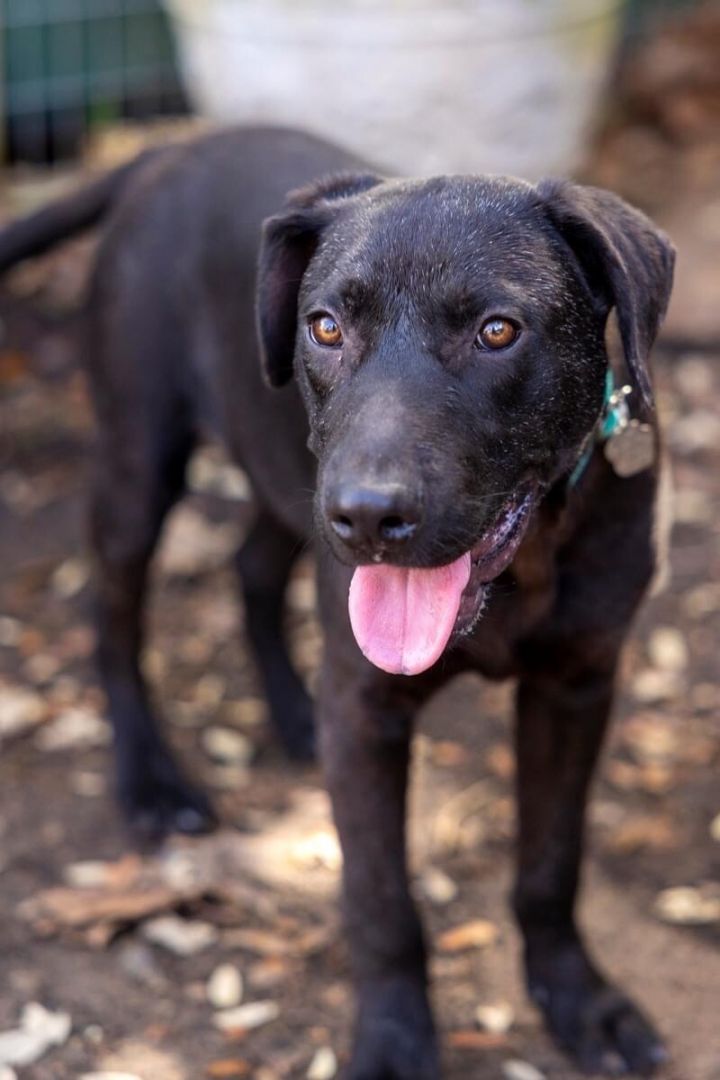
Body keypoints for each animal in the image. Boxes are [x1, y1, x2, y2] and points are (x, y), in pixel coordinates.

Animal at [0, 126, 677, 1071]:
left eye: (498, 331)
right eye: (325, 326)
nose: (366, 514)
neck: (526, 566)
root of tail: (171, 147)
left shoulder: (576, 686)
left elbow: (552, 862)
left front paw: (580, 1002)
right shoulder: (365, 710)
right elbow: (381, 899)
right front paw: (394, 1043)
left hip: (284, 481)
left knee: (252, 567)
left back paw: (290, 713)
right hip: (145, 459)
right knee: (113, 617)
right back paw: (152, 781)